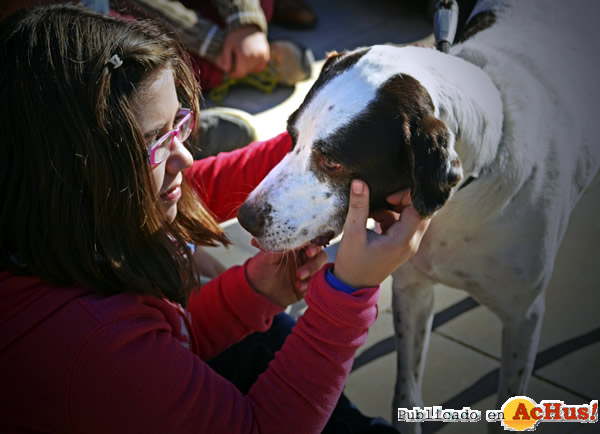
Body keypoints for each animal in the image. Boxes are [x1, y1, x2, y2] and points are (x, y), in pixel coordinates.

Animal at [237, 0, 596, 430]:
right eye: (291, 135)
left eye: (333, 162)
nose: (245, 217)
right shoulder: (412, 289)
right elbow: (405, 392)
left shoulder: (523, 317)